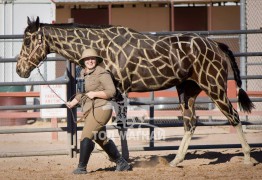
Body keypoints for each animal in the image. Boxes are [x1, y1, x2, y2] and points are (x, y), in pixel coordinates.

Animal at [15, 16, 254, 166]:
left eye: (27, 41)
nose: (19, 70)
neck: (100, 47)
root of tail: (217, 46)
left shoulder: (119, 89)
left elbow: (120, 126)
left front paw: (125, 159)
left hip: (214, 86)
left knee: (233, 116)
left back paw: (248, 159)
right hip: (188, 91)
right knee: (190, 123)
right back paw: (176, 161)